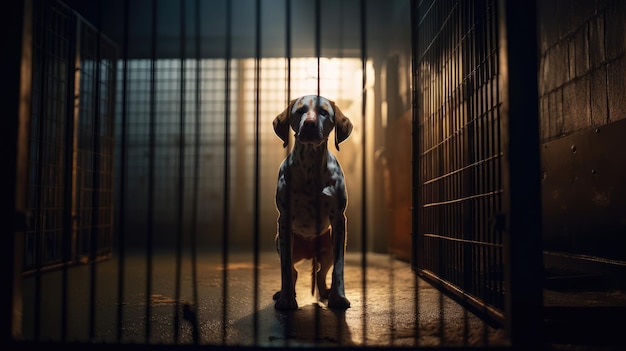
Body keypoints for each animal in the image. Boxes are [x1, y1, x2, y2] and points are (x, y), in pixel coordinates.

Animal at [272, 94, 354, 310]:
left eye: (323, 112)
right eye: (300, 111)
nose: (309, 124)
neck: (310, 166)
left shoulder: (338, 220)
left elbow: (339, 268)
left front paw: (338, 297)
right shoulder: (284, 220)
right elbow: (285, 268)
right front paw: (286, 300)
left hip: (327, 249)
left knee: (320, 272)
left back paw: (326, 292)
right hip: (281, 242)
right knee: (293, 271)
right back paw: (284, 292)